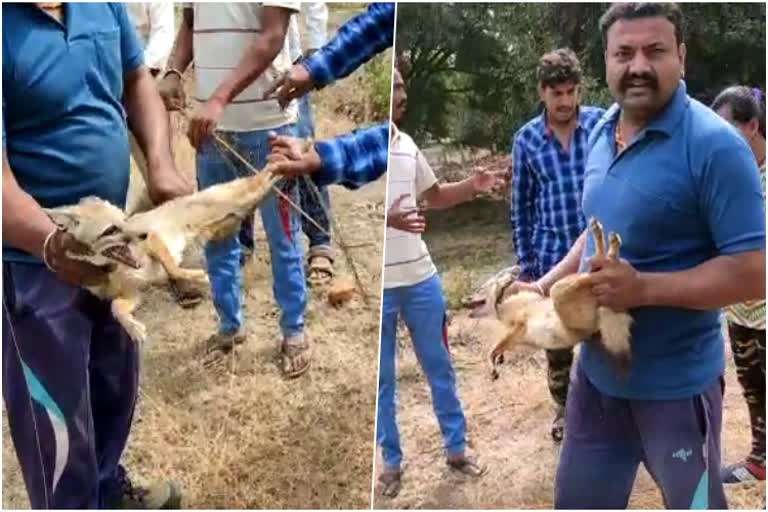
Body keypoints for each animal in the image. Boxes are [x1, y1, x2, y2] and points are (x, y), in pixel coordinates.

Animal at [43, 168, 282, 344]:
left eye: (124, 219)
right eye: (111, 230)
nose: (142, 234)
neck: (119, 270)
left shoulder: (156, 242)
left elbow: (174, 270)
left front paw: (198, 276)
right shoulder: (133, 294)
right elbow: (116, 308)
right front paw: (134, 329)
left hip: (238, 199)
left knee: (262, 176)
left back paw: (281, 161)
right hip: (231, 218)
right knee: (259, 190)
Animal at [484, 216, 632, 380]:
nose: (516, 269)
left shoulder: (512, 320)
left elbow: (496, 299)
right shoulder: (513, 332)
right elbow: (495, 348)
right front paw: (495, 364)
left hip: (559, 290)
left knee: (594, 269)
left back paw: (602, 237)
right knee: (597, 266)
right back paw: (605, 239)